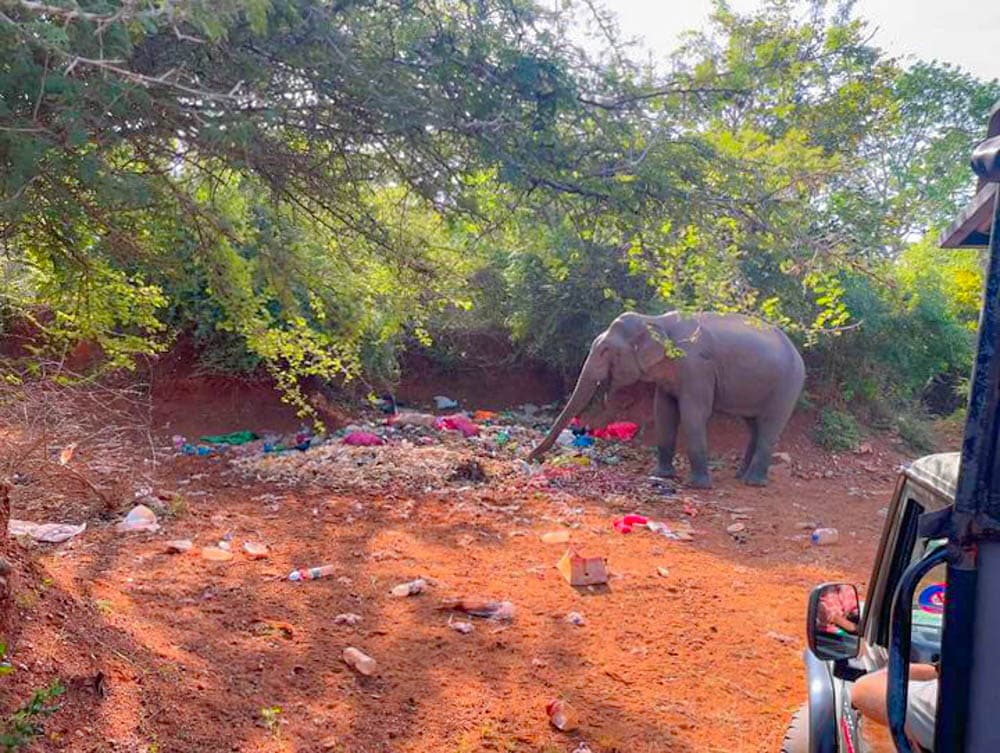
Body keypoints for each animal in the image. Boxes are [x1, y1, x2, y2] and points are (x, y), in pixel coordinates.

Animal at [532, 312, 804, 488]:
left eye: (606, 351)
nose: (533, 457)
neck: (655, 320)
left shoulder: (696, 367)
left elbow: (694, 413)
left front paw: (697, 486)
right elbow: (663, 410)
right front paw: (662, 475)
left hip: (787, 385)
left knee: (769, 425)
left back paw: (753, 482)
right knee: (753, 425)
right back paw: (740, 476)